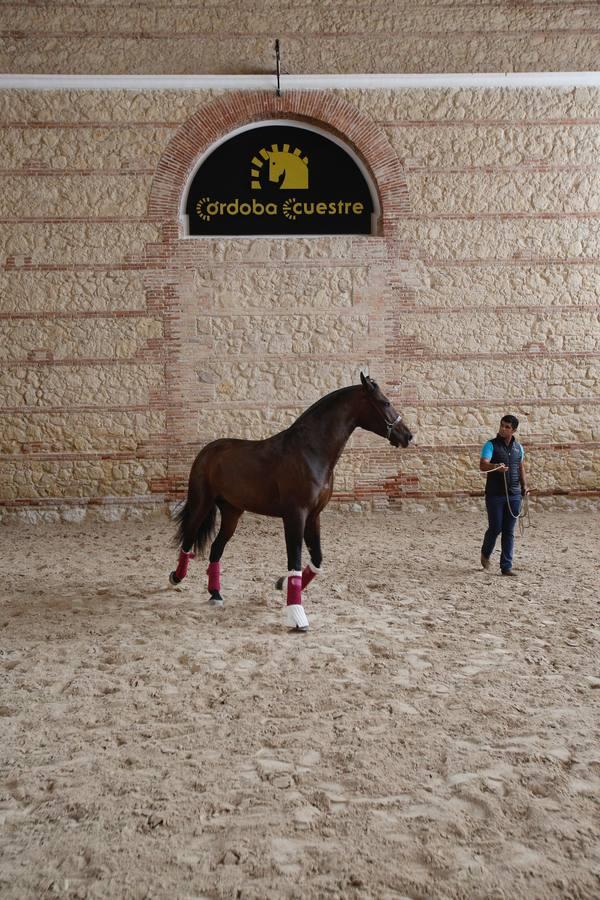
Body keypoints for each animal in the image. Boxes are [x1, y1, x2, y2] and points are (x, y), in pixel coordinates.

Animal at [169, 370, 412, 628]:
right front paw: (297, 614)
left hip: (232, 511)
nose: (408, 435)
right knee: (188, 538)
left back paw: (215, 594)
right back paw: (176, 577)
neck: (309, 452)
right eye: (385, 402)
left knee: (216, 548)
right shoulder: (295, 515)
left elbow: (316, 560)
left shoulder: (314, 516)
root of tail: (207, 451)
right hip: (201, 504)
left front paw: (282, 584)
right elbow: (294, 559)